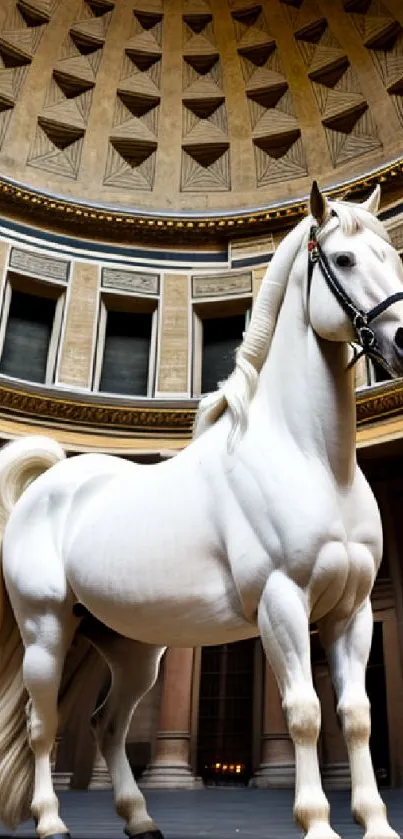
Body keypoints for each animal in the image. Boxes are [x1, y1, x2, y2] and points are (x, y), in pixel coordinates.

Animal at [0, 182, 403, 839]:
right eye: (343, 260)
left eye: (391, 255)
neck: (312, 457)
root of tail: (49, 480)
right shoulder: (282, 603)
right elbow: (305, 711)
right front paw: (317, 822)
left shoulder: (352, 611)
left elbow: (356, 713)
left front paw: (375, 822)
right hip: (46, 631)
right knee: (41, 726)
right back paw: (52, 820)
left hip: (129, 646)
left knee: (105, 724)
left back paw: (140, 818)